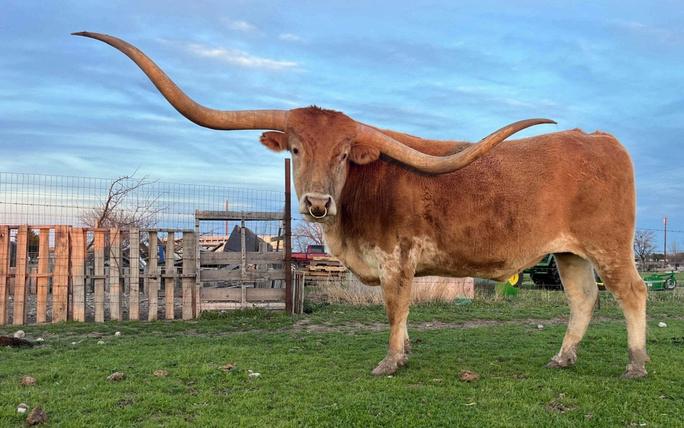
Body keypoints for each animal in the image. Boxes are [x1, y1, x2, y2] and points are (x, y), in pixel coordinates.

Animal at [74, 32, 649, 378]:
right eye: (296, 150)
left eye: (345, 154)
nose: (316, 202)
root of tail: (600, 139)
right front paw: (406, 353)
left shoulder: (397, 260)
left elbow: (395, 309)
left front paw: (390, 362)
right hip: (570, 252)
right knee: (584, 299)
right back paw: (563, 357)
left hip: (609, 245)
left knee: (632, 293)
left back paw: (637, 363)